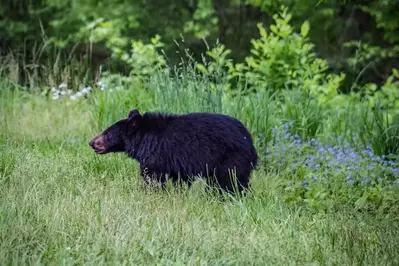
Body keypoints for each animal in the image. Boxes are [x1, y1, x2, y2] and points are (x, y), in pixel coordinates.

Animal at [89, 109, 260, 192]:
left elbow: (152, 177)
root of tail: (250, 143)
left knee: (227, 180)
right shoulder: (177, 163)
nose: (91, 142)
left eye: (107, 133)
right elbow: (180, 180)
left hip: (230, 157)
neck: (143, 138)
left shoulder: (157, 154)